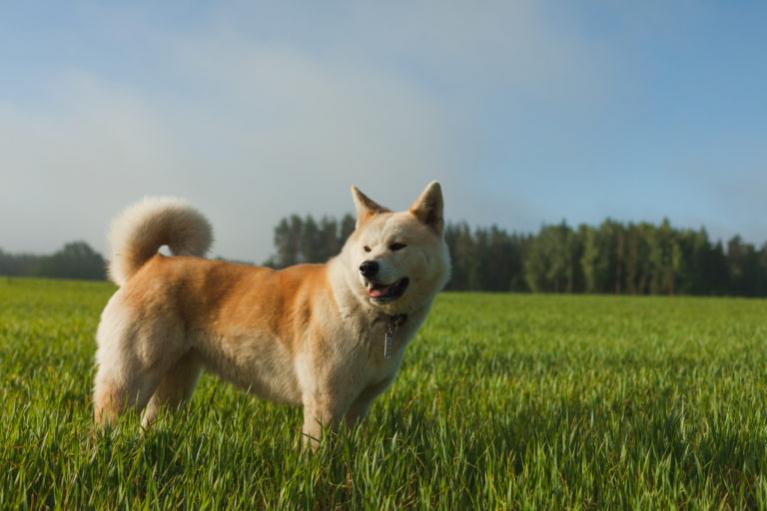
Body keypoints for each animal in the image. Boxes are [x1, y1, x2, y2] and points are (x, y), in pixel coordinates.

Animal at [91, 182, 450, 446]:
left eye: (398, 245)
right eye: (367, 248)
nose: (367, 268)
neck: (362, 310)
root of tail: (148, 265)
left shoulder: (358, 407)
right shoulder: (325, 403)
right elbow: (319, 458)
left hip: (173, 387)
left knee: (148, 423)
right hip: (129, 379)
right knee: (103, 424)